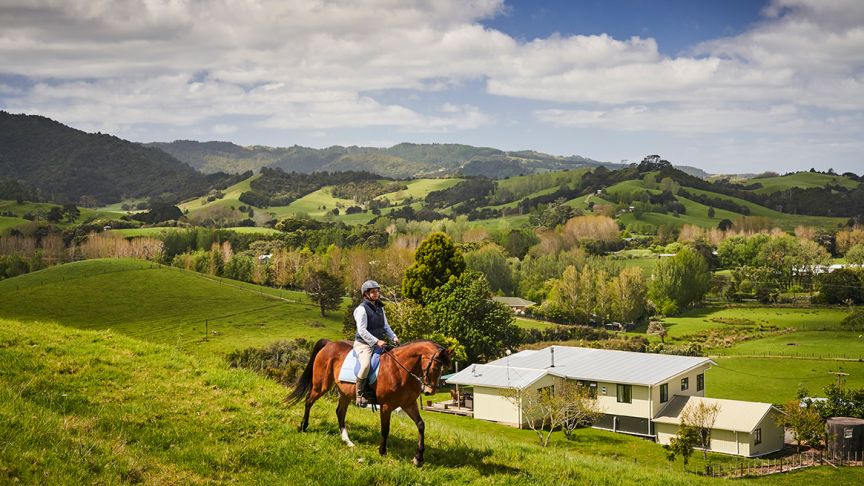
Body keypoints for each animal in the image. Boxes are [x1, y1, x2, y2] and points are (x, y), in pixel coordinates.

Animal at [288, 338, 452, 468]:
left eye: (444, 369)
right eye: (436, 366)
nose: (430, 391)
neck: (400, 369)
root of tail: (329, 344)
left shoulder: (409, 404)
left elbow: (421, 425)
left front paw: (418, 458)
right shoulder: (386, 406)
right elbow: (385, 429)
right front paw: (382, 452)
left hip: (345, 393)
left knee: (340, 412)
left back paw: (347, 441)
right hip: (321, 385)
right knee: (309, 401)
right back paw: (303, 426)